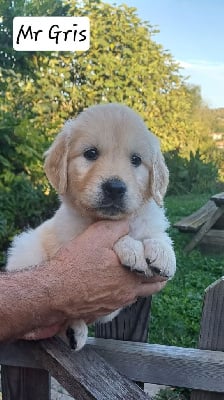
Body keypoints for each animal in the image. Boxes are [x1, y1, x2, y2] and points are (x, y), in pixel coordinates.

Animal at [6, 103, 176, 350]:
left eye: (136, 160)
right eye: (91, 153)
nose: (115, 188)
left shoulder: (148, 220)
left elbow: (157, 233)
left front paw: (164, 253)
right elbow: (120, 237)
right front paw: (132, 248)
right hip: (25, 248)